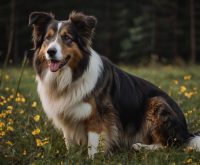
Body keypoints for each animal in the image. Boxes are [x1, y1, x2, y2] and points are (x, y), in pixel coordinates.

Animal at [28, 10, 200, 157]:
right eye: (48, 38)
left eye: (67, 38)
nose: (51, 52)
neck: (69, 76)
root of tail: (186, 133)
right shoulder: (68, 116)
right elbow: (69, 143)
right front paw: (71, 157)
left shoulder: (99, 116)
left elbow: (93, 145)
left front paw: (93, 159)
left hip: (156, 102)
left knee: (170, 145)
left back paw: (140, 146)